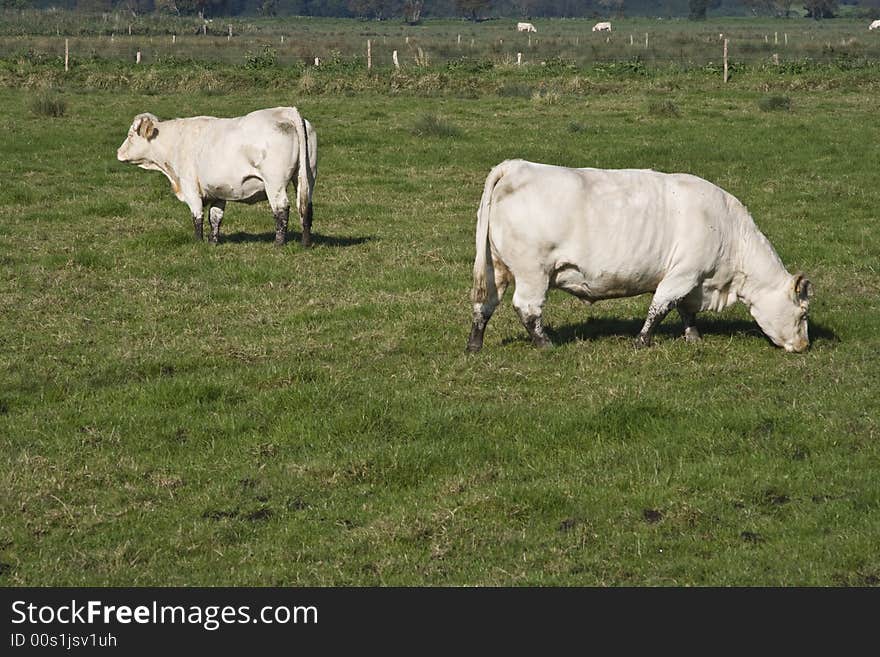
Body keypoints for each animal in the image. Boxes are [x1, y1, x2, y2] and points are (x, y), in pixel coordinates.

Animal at [117, 107, 316, 246]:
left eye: (130, 135)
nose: (118, 152)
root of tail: (285, 111)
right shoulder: (219, 190)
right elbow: (215, 217)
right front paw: (213, 242)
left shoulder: (190, 188)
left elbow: (197, 216)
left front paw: (198, 242)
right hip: (306, 177)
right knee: (305, 207)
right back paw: (305, 243)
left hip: (275, 183)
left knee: (281, 209)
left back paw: (278, 243)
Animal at [464, 160, 816, 354]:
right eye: (803, 314)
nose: (803, 346)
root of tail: (516, 166)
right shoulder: (684, 273)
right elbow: (660, 307)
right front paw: (642, 341)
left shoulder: (694, 281)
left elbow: (686, 311)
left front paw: (693, 337)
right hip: (532, 271)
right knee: (527, 308)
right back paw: (545, 344)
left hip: (496, 268)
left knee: (484, 305)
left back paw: (474, 345)